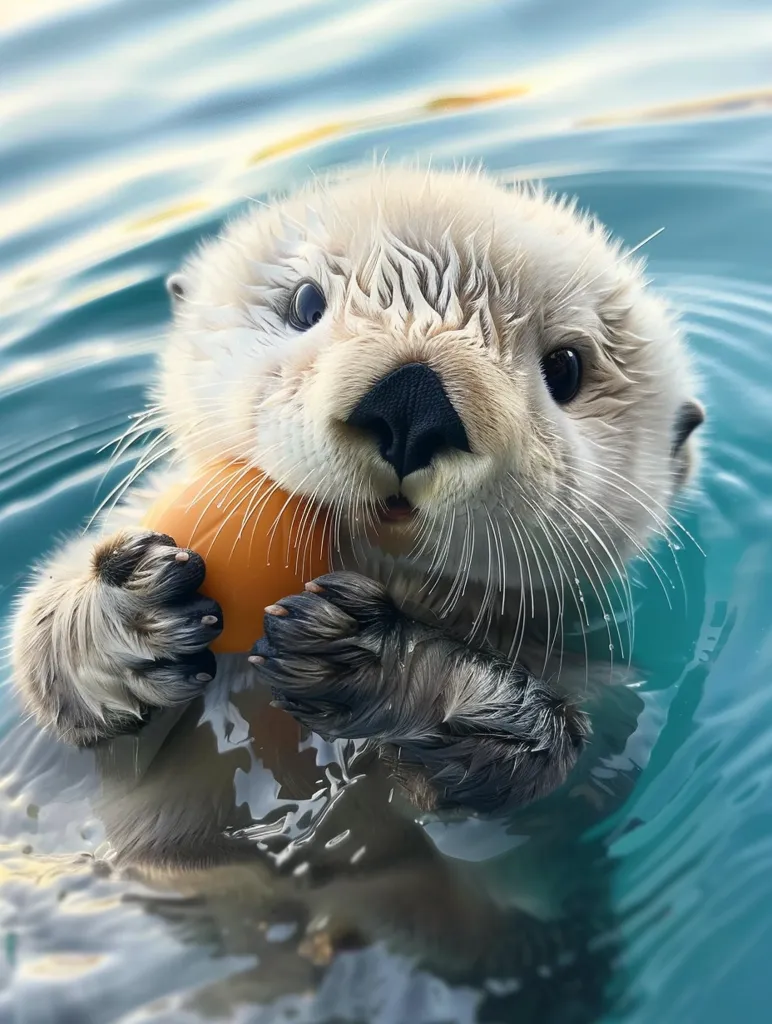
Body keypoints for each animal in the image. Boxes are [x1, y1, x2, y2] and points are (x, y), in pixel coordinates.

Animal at [8, 165, 703, 1018]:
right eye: (305, 303)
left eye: (566, 368)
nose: (413, 401)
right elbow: (60, 680)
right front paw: (126, 619)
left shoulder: (605, 695)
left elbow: (550, 769)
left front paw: (383, 663)